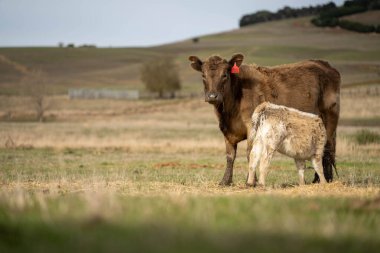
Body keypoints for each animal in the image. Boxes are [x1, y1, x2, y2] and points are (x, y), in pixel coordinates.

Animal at [189, 53, 340, 185]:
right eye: (203, 75)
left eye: (224, 75)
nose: (212, 96)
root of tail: (323, 63)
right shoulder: (227, 131)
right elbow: (230, 156)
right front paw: (225, 181)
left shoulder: (252, 127)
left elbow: (250, 153)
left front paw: (251, 181)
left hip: (329, 120)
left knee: (327, 150)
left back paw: (324, 179)